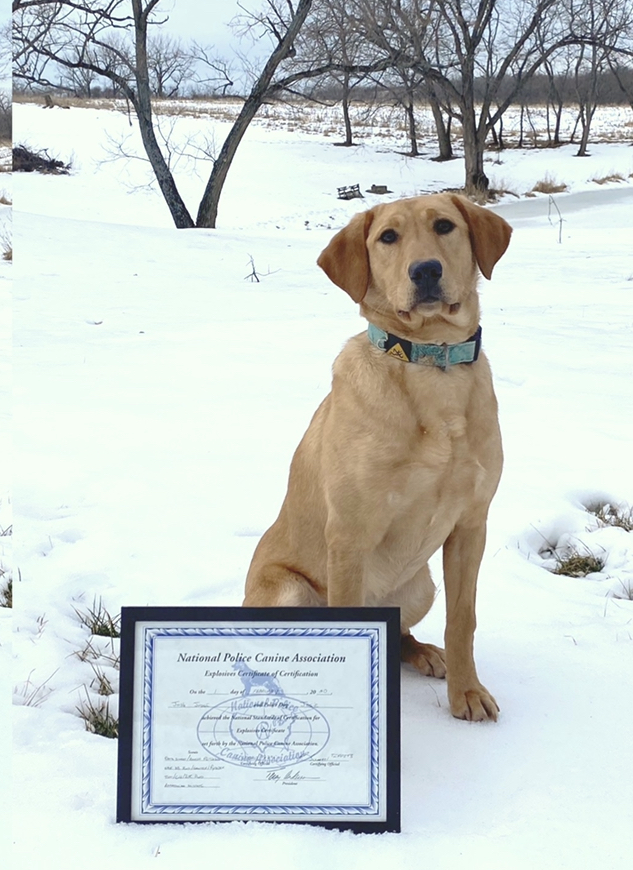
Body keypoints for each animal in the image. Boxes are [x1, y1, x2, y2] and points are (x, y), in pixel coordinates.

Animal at [241, 196, 508, 724]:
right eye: (388, 237)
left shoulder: (471, 523)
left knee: (403, 632)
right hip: (287, 589)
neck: (432, 367)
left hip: (420, 587)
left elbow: (462, 620)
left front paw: (467, 692)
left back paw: (424, 652)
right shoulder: (350, 534)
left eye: (444, 226)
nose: (425, 270)